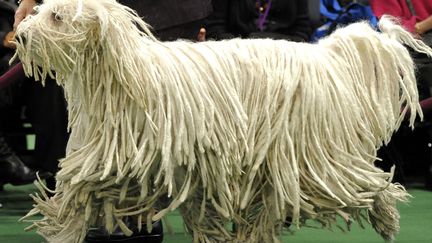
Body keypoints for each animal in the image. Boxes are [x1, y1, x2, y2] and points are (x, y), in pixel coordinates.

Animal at [11, 0, 432, 243]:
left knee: (367, 183)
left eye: (57, 16)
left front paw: (59, 225)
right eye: (39, 9)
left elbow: (77, 188)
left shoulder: (119, 157)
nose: (21, 35)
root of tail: (325, 55)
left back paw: (387, 216)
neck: (124, 73)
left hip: (314, 158)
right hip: (276, 164)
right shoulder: (128, 160)